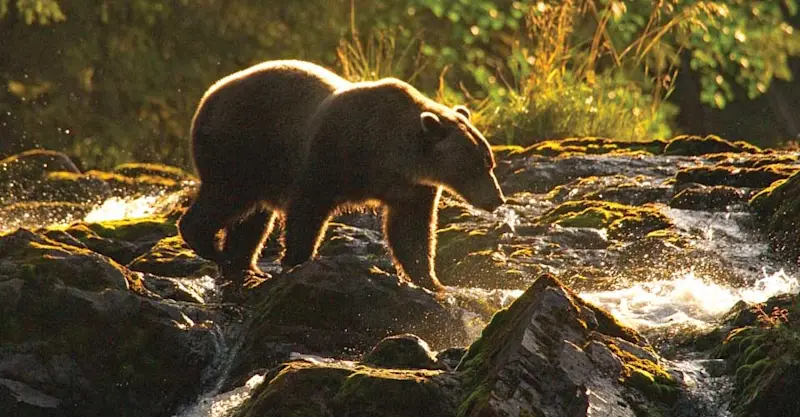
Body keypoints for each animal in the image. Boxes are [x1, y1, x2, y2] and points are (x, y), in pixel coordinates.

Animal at [178, 60, 506, 293]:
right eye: (476, 166)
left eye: (489, 162)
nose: (497, 199)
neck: (389, 154)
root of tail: (208, 95)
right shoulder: (331, 154)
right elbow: (307, 208)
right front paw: (297, 259)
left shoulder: (412, 188)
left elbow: (410, 231)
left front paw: (432, 281)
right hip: (240, 148)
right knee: (228, 196)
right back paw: (208, 245)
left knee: (253, 219)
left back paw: (243, 265)